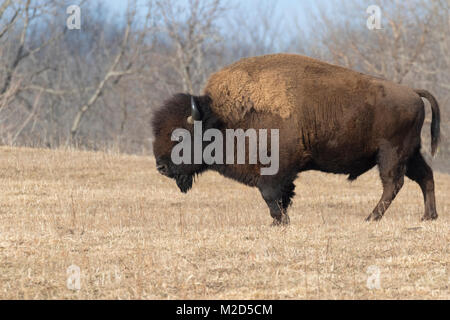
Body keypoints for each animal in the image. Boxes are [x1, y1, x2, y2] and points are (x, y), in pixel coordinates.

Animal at [153, 53, 442, 225]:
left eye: (180, 136)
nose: (161, 167)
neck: (222, 117)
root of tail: (412, 92)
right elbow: (282, 196)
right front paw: (278, 221)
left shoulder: (275, 170)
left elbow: (271, 195)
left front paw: (279, 221)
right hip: (410, 153)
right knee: (425, 176)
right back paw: (428, 217)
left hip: (390, 154)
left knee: (393, 183)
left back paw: (371, 217)